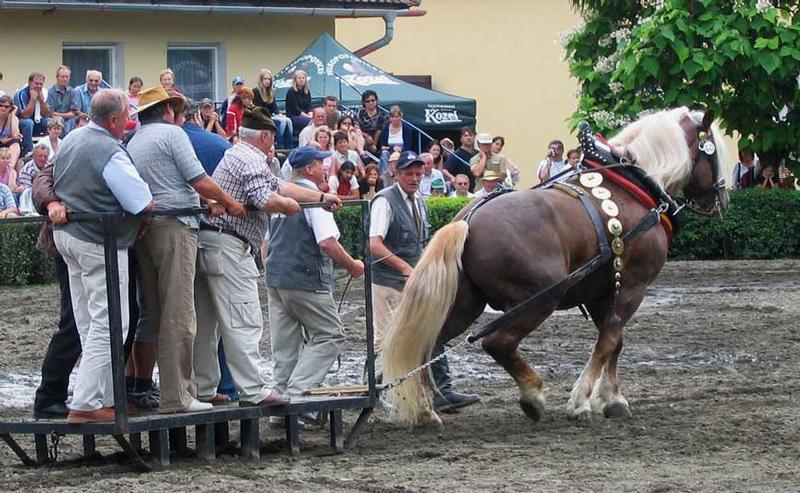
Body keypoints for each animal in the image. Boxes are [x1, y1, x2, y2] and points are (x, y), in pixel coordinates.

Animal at [381, 107, 732, 427]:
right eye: (714, 151)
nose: (722, 199)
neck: (632, 187)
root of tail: (469, 219)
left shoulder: (603, 291)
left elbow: (615, 343)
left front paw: (613, 399)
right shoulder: (632, 286)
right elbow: (609, 340)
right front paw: (581, 401)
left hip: (468, 302)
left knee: (428, 345)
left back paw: (426, 411)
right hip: (539, 298)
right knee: (498, 343)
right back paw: (532, 395)